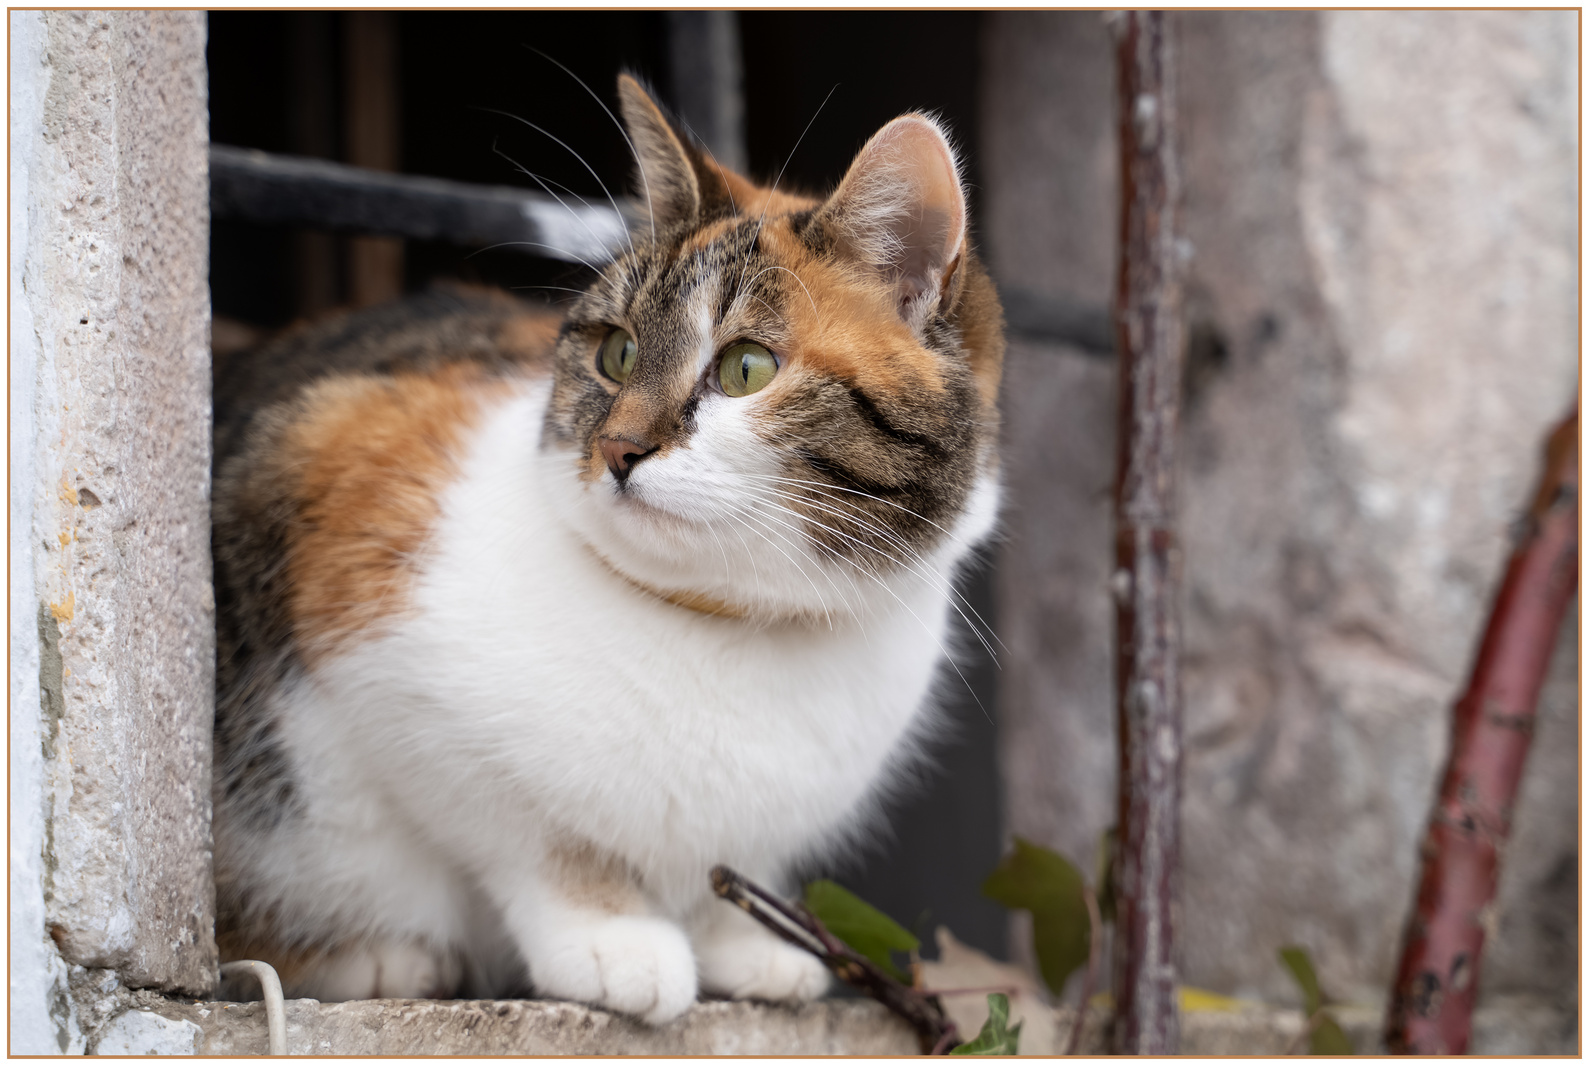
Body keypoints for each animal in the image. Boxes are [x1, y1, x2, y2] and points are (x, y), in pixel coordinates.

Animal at [211, 75, 1004, 1022]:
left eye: (745, 368)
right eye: (616, 353)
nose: (619, 448)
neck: (723, 623)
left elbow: (728, 871)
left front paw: (740, 946)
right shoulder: (367, 610)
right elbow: (532, 835)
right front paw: (611, 936)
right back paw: (372, 959)